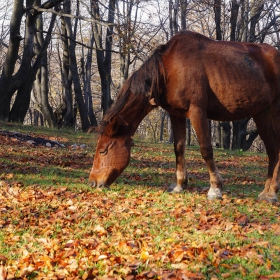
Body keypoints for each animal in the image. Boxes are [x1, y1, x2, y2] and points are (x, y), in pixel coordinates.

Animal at [89, 30, 280, 201]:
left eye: (103, 150)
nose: (93, 182)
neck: (169, 69)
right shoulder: (176, 114)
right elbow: (178, 147)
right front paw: (179, 185)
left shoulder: (197, 112)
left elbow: (206, 149)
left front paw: (215, 188)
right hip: (261, 113)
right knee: (273, 150)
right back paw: (267, 193)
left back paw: (271, 193)